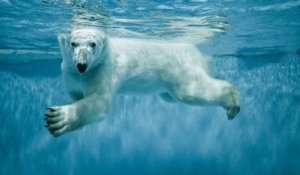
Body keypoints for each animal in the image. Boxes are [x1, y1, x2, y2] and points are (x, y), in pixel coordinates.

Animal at [44, 27, 240, 137]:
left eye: (93, 44)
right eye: (73, 44)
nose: (82, 65)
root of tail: (197, 53)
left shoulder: (102, 69)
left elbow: (99, 102)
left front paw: (57, 117)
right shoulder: (70, 74)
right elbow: (76, 95)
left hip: (178, 69)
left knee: (190, 92)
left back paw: (232, 102)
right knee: (170, 97)